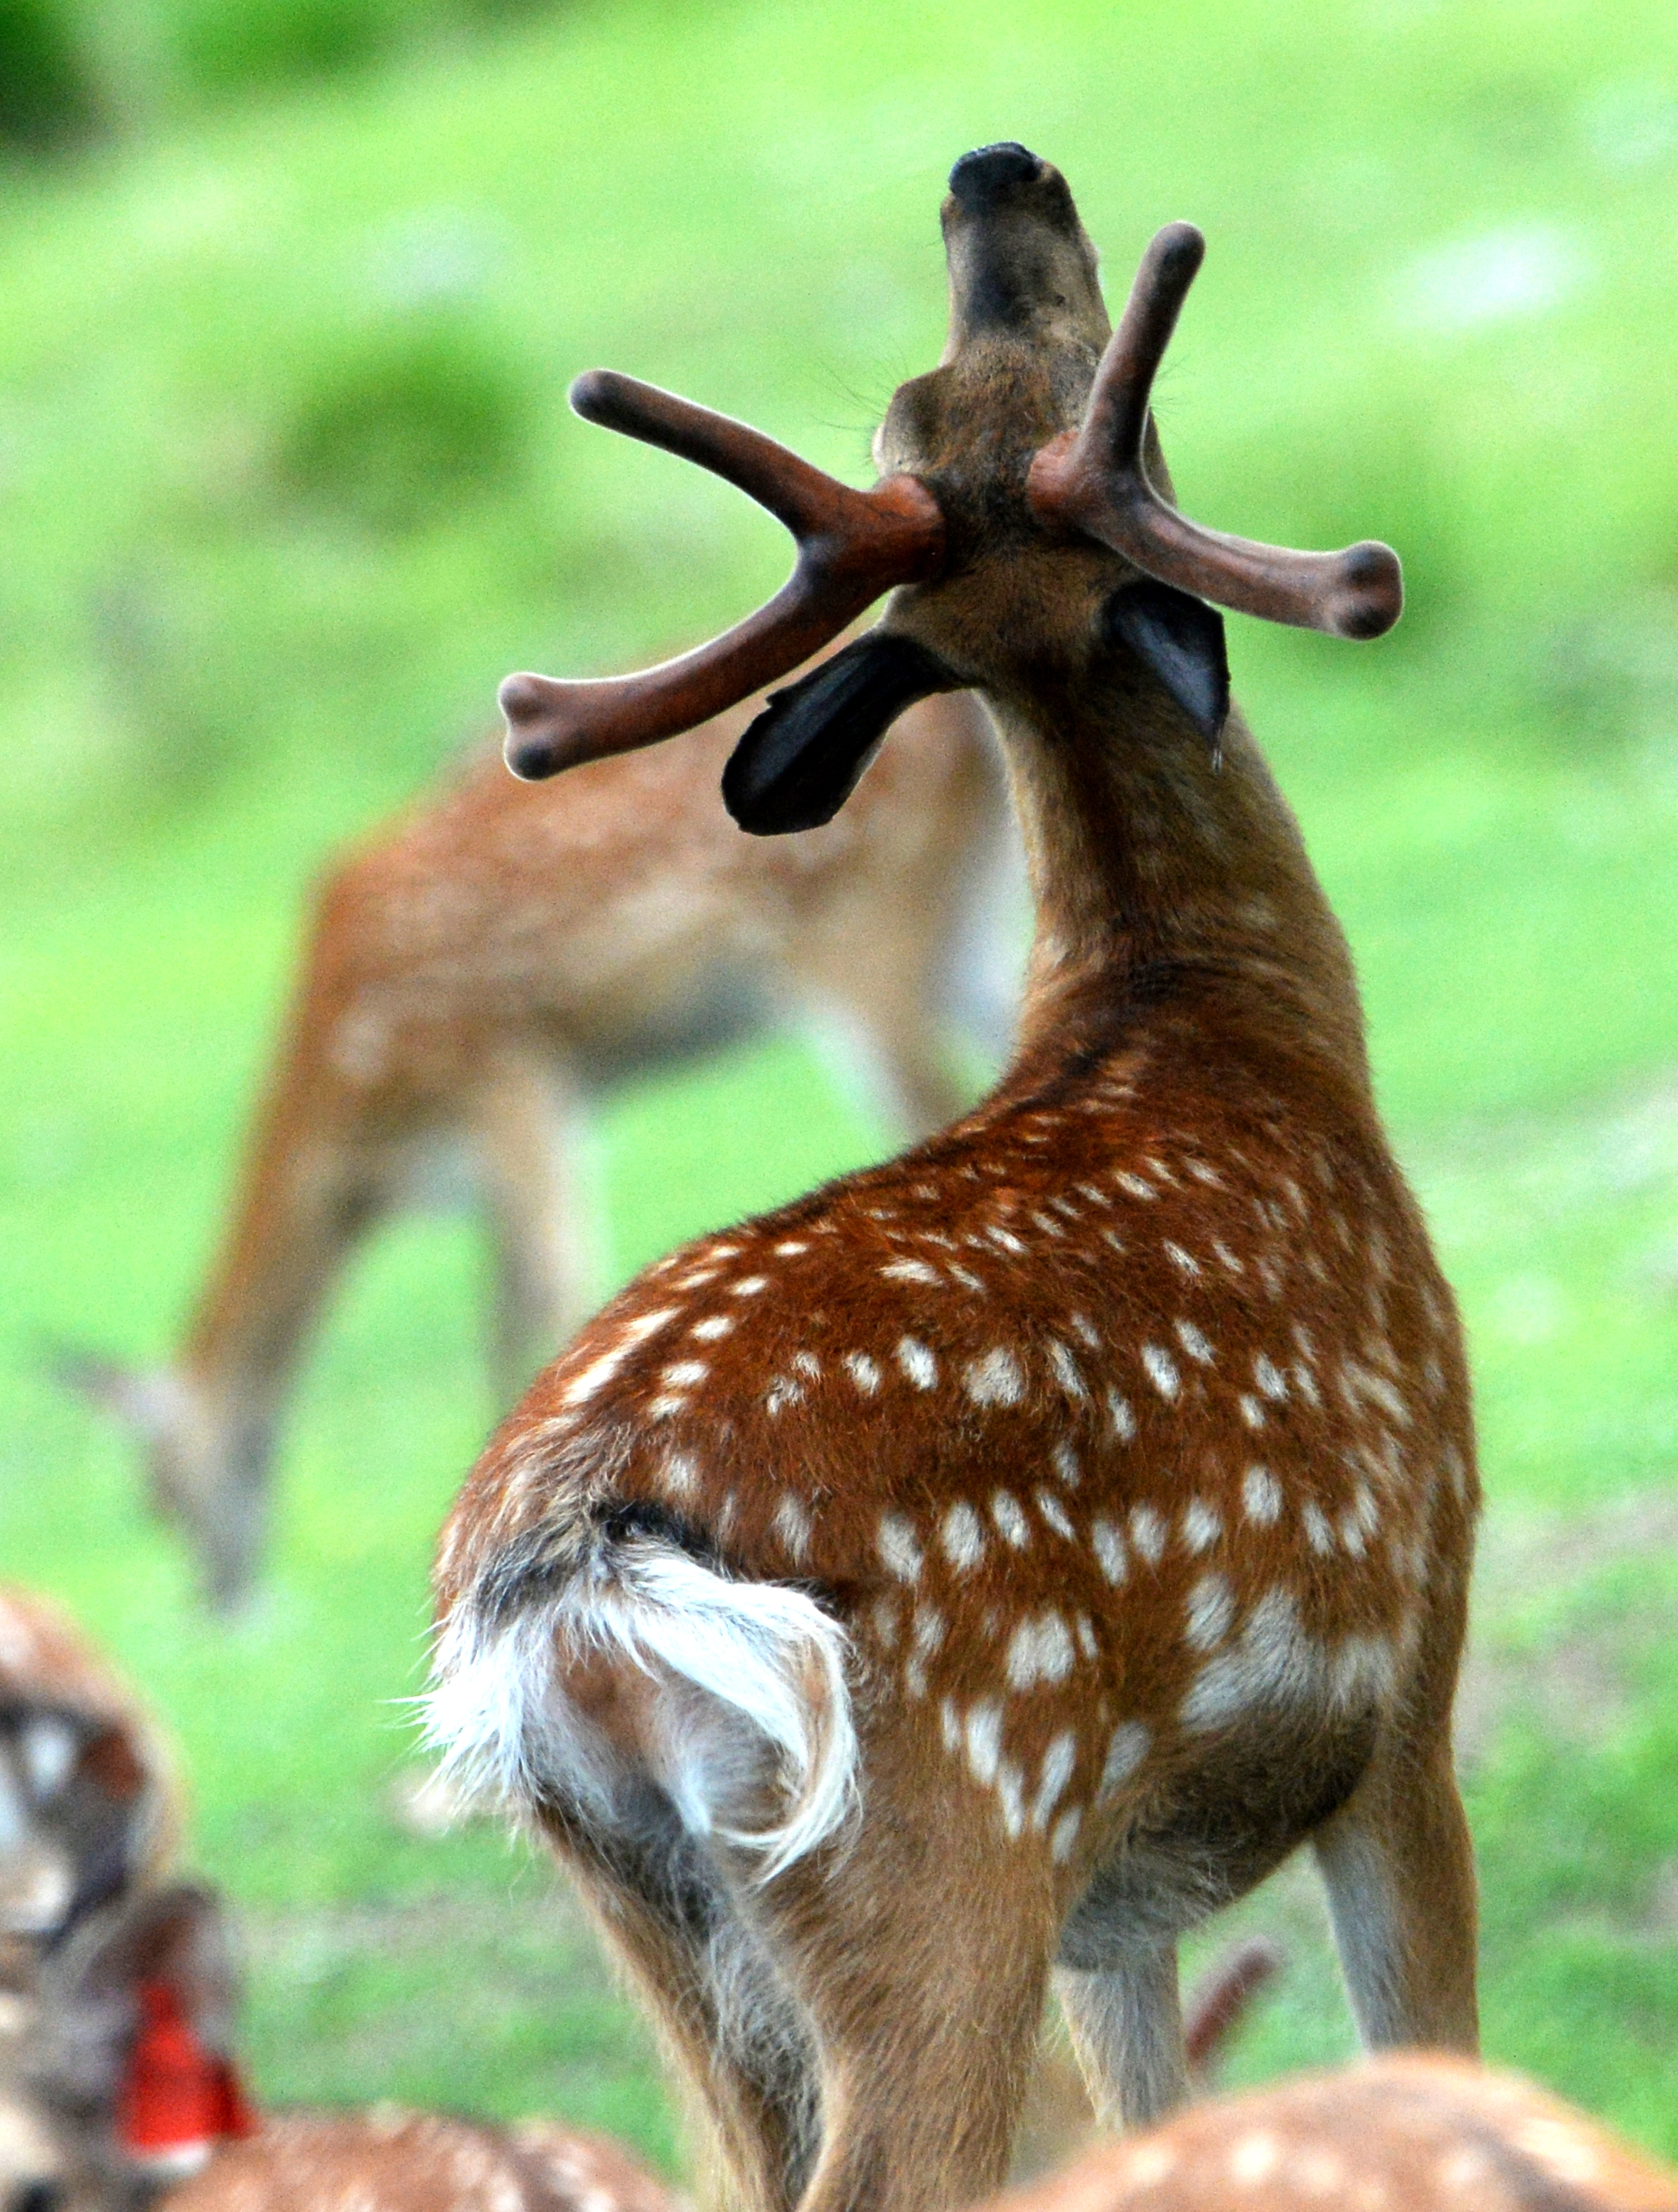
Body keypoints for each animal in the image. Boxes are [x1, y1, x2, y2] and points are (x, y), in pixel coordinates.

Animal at [59, 681, 1012, 1619]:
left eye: (159, 1493)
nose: (221, 1601)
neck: (362, 1117)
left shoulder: (507, 1070)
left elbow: (554, 1287)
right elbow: (504, 1312)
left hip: (853, 925)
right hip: (960, 932)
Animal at [428, 142, 1486, 2212]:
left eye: (915, 407)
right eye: (1116, 392)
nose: (1000, 171)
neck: (1217, 1017)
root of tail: (573, 1583)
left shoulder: (1120, 1904)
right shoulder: (1406, 1672)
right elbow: (1434, 2044)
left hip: (656, 1924)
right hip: (934, 1836)